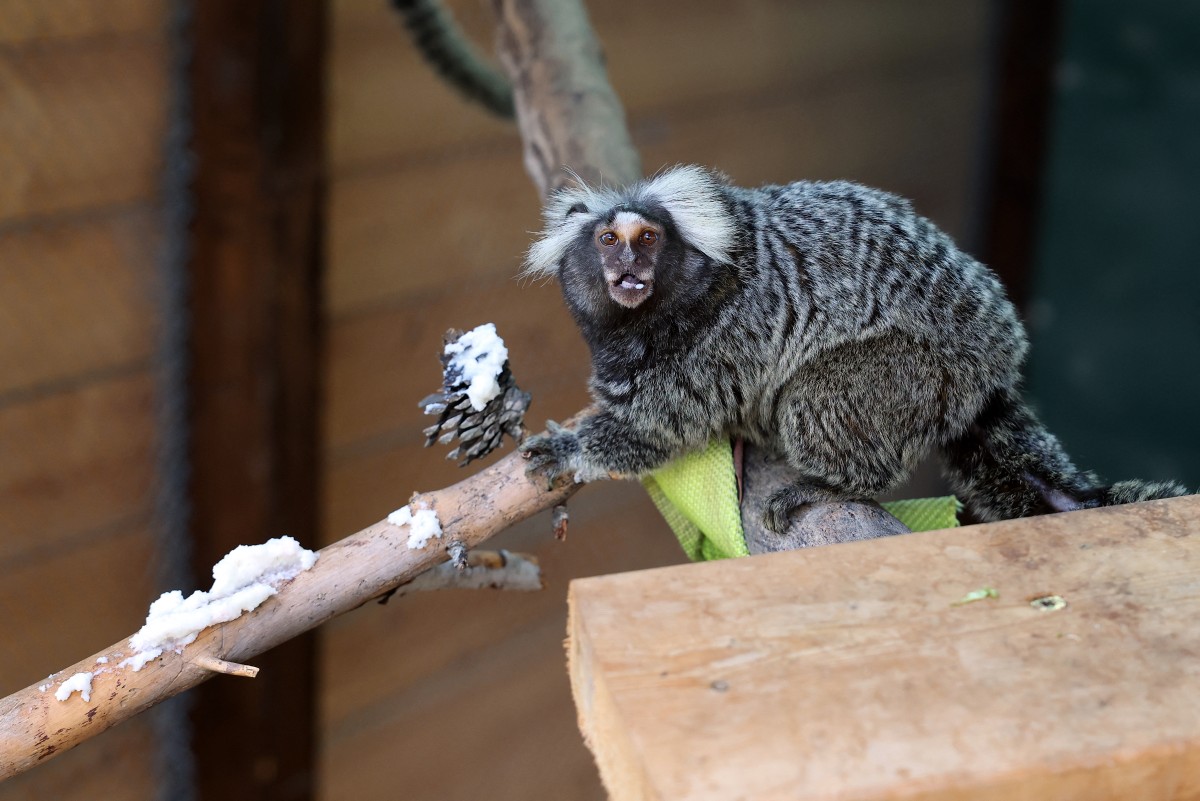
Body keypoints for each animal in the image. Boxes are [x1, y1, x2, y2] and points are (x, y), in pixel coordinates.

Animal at [517, 165, 1189, 532]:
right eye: (608, 240)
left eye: (649, 239)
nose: (629, 268)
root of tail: (992, 364)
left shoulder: (718, 340)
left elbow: (657, 430)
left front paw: (568, 450)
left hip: (913, 370)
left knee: (821, 396)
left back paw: (831, 484)